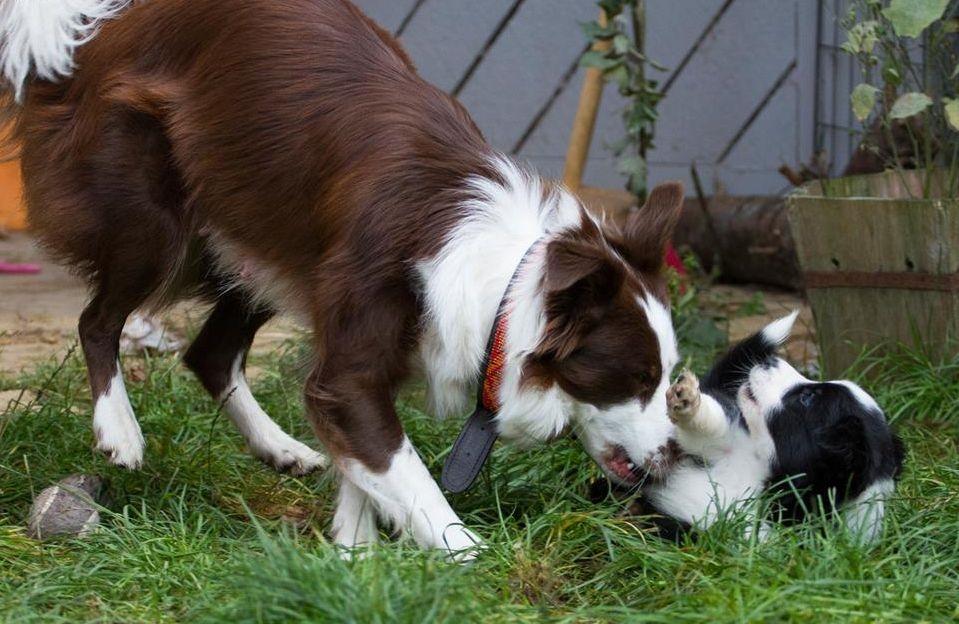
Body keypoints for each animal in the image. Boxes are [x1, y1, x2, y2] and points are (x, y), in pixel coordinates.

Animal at [5, 0, 684, 556]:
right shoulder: (357, 343)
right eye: (638, 378)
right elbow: (401, 466)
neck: (505, 287)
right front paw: (465, 556)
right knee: (98, 318)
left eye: (668, 378)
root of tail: (110, 24)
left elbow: (361, 459)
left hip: (273, 241)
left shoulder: (358, 356)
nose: (676, 458)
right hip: (153, 218)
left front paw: (353, 556)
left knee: (210, 353)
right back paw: (119, 428)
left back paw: (278, 447)